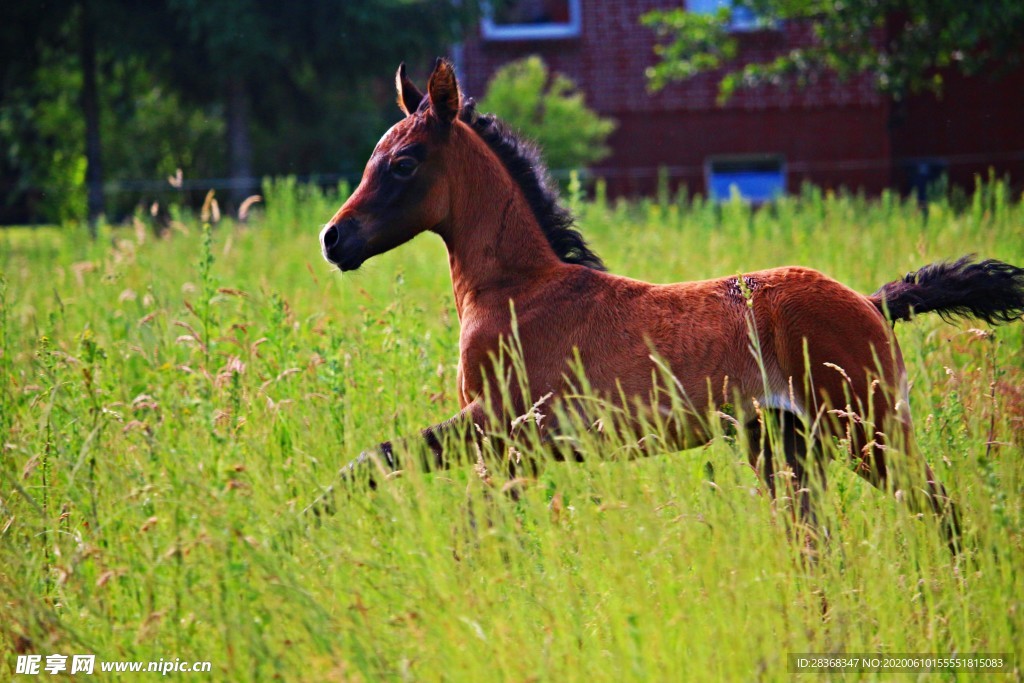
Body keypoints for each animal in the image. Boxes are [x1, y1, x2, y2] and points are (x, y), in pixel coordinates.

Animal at [315, 58, 1024, 548]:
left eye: (404, 162)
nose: (333, 238)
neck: (521, 290)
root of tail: (872, 302)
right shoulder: (507, 443)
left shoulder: (501, 429)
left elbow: (400, 473)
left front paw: (303, 527)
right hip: (787, 448)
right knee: (817, 545)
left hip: (870, 432)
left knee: (945, 516)